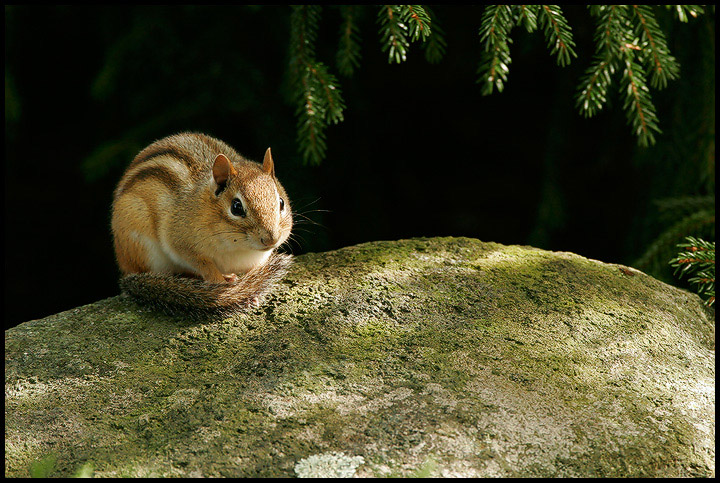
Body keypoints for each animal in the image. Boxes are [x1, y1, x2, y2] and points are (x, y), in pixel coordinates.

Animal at [111, 132, 293, 317]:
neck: (238, 248)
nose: (271, 239)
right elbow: (204, 266)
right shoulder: (181, 243)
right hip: (142, 242)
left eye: (281, 202)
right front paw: (224, 285)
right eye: (236, 207)